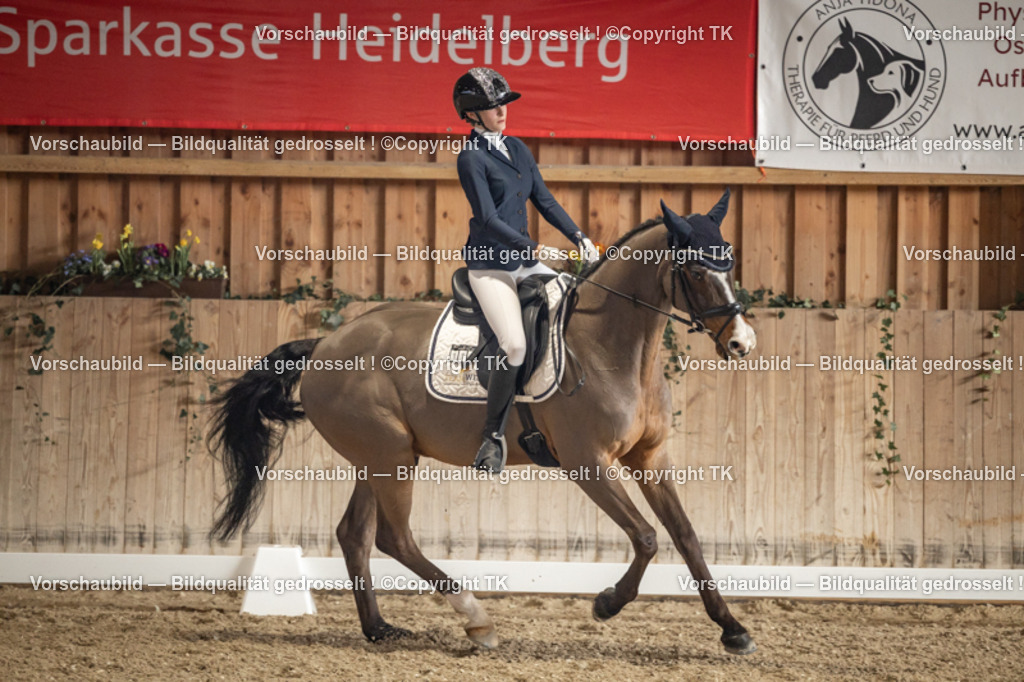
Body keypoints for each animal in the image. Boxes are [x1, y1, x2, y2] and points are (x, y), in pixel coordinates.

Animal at [208, 188, 759, 655]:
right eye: (696, 272)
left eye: (730, 264)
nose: (741, 343)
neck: (612, 348)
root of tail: (325, 343)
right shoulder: (588, 463)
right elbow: (646, 536)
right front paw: (606, 603)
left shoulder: (649, 457)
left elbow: (685, 535)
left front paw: (732, 629)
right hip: (390, 456)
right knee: (393, 538)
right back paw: (476, 619)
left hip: (377, 458)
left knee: (355, 535)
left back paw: (380, 629)